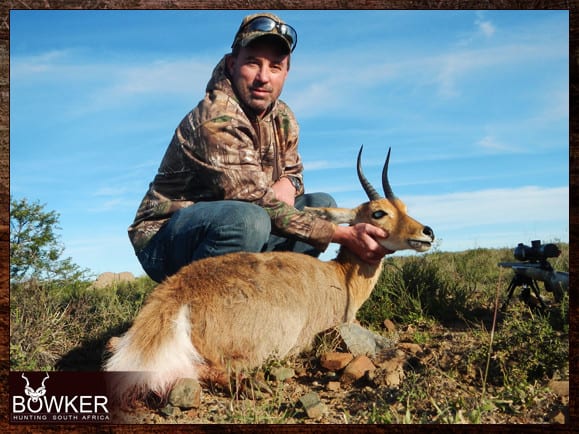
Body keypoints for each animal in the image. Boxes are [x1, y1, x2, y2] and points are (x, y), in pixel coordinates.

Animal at [104, 146, 432, 404]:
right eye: (378, 213)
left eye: (403, 207)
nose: (426, 232)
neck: (339, 276)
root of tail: (181, 293)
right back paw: (254, 386)